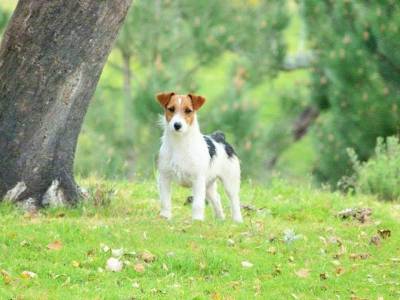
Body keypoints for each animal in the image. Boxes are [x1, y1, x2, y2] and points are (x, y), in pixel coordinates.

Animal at [155, 92, 244, 223]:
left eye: (188, 110)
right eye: (171, 109)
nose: (177, 125)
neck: (180, 143)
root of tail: (220, 137)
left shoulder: (198, 180)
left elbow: (197, 203)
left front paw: (197, 220)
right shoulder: (164, 177)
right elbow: (165, 201)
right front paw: (165, 216)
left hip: (229, 182)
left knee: (234, 200)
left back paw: (237, 220)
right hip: (208, 185)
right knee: (216, 198)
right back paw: (220, 218)